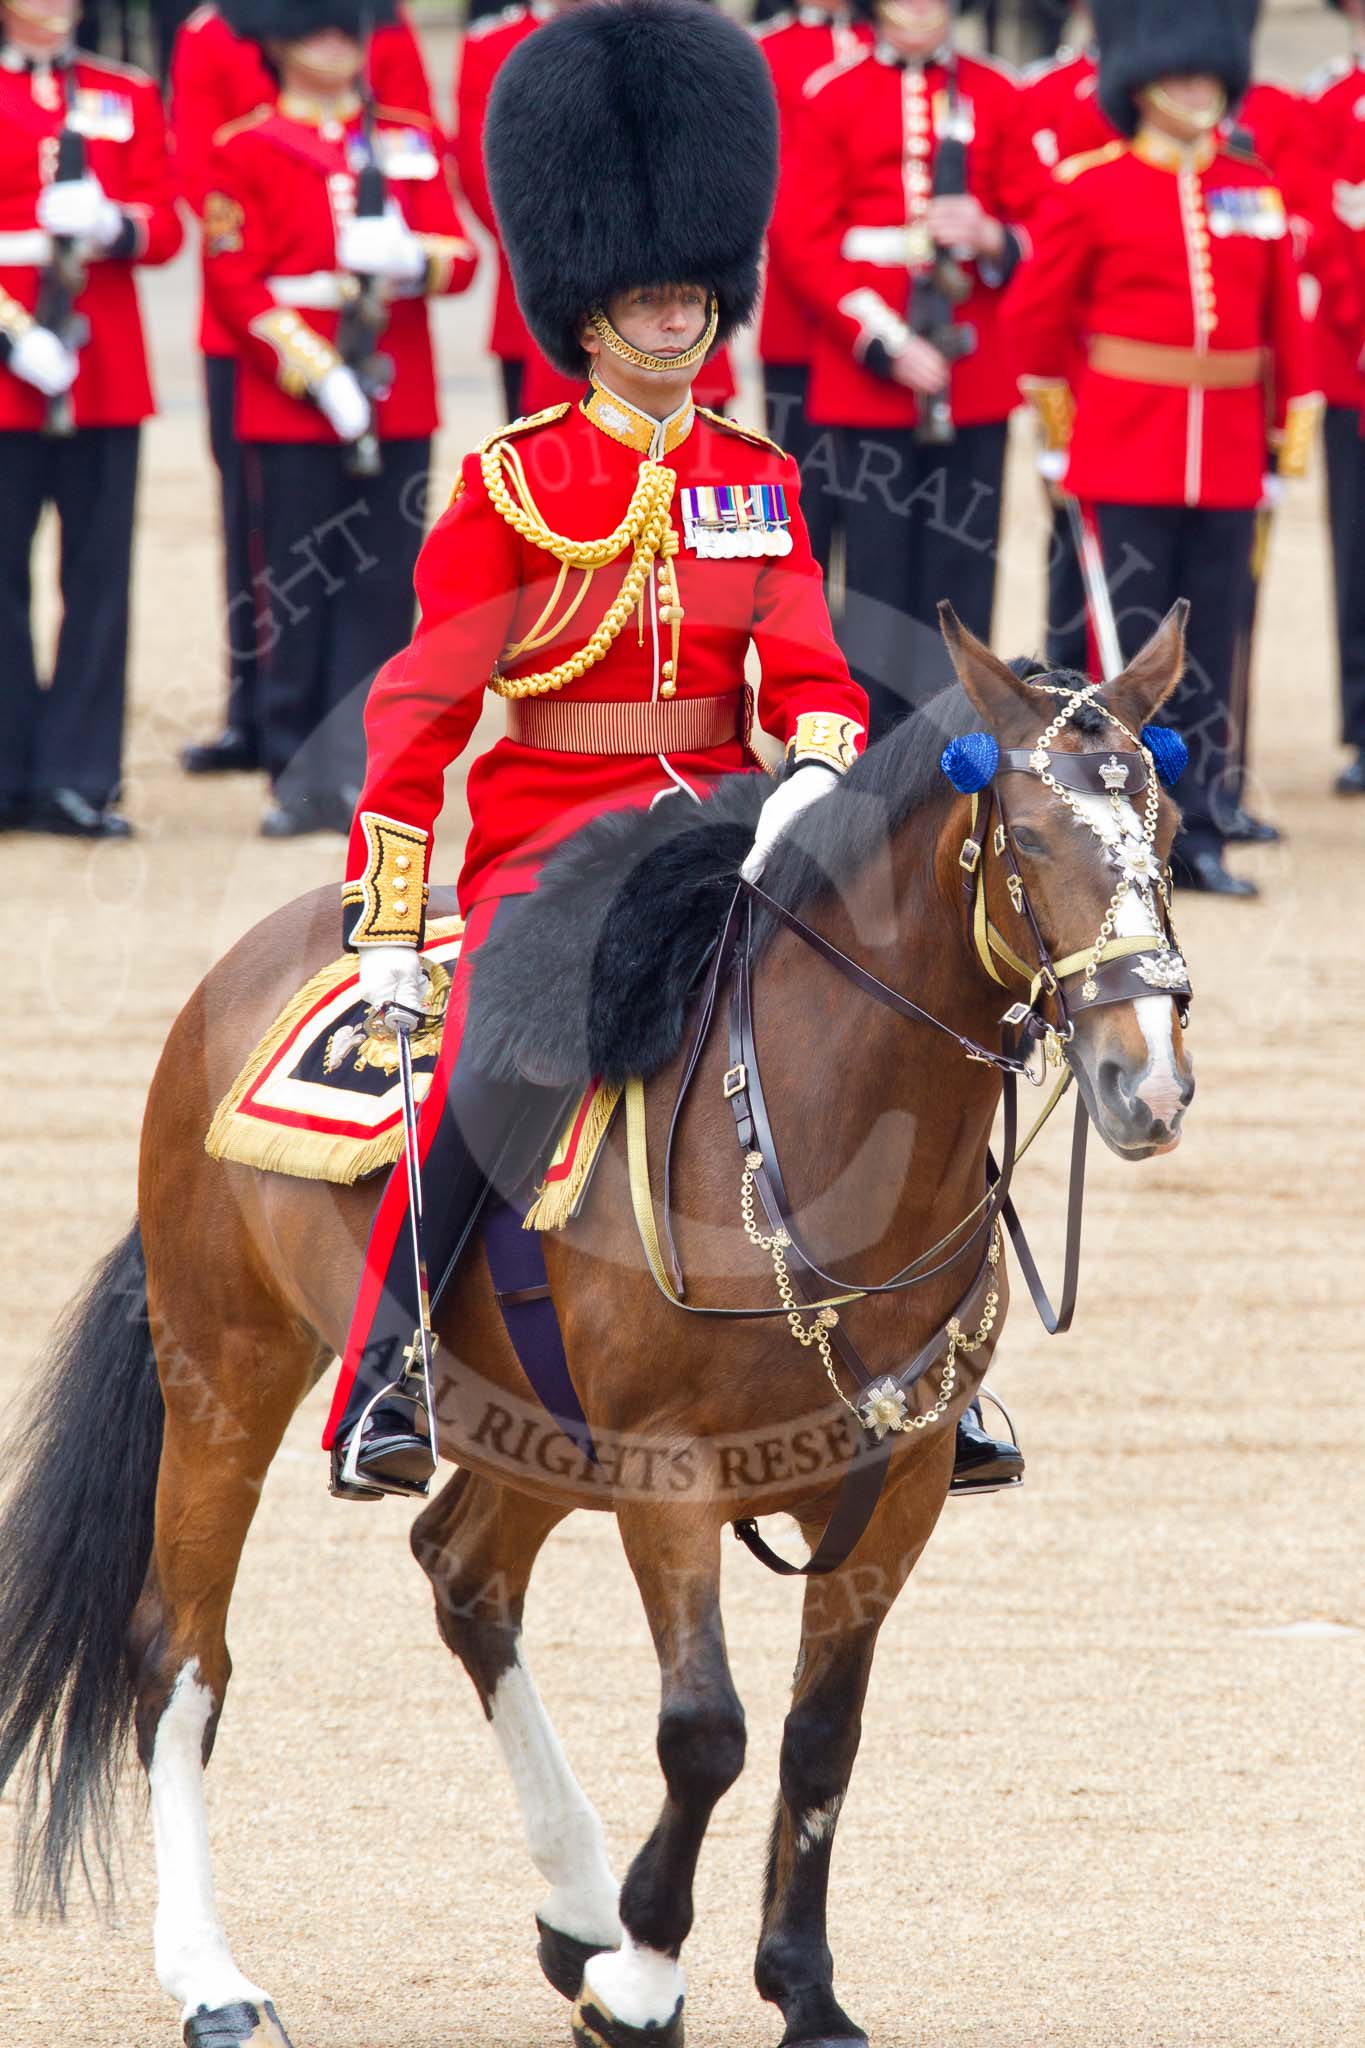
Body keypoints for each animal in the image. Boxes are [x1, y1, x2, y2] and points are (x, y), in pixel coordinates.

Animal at [0, 607, 1195, 2048]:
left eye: (1169, 829)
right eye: (1027, 837)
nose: (1148, 1084)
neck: (815, 1123)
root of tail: (241, 967)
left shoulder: (897, 1484)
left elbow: (819, 1735)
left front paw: (798, 1988)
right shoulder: (671, 1475)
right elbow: (707, 1731)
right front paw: (642, 1983)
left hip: (531, 1425)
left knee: (464, 1574)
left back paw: (573, 1902)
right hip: (227, 1371)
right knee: (179, 1654)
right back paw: (216, 1979)